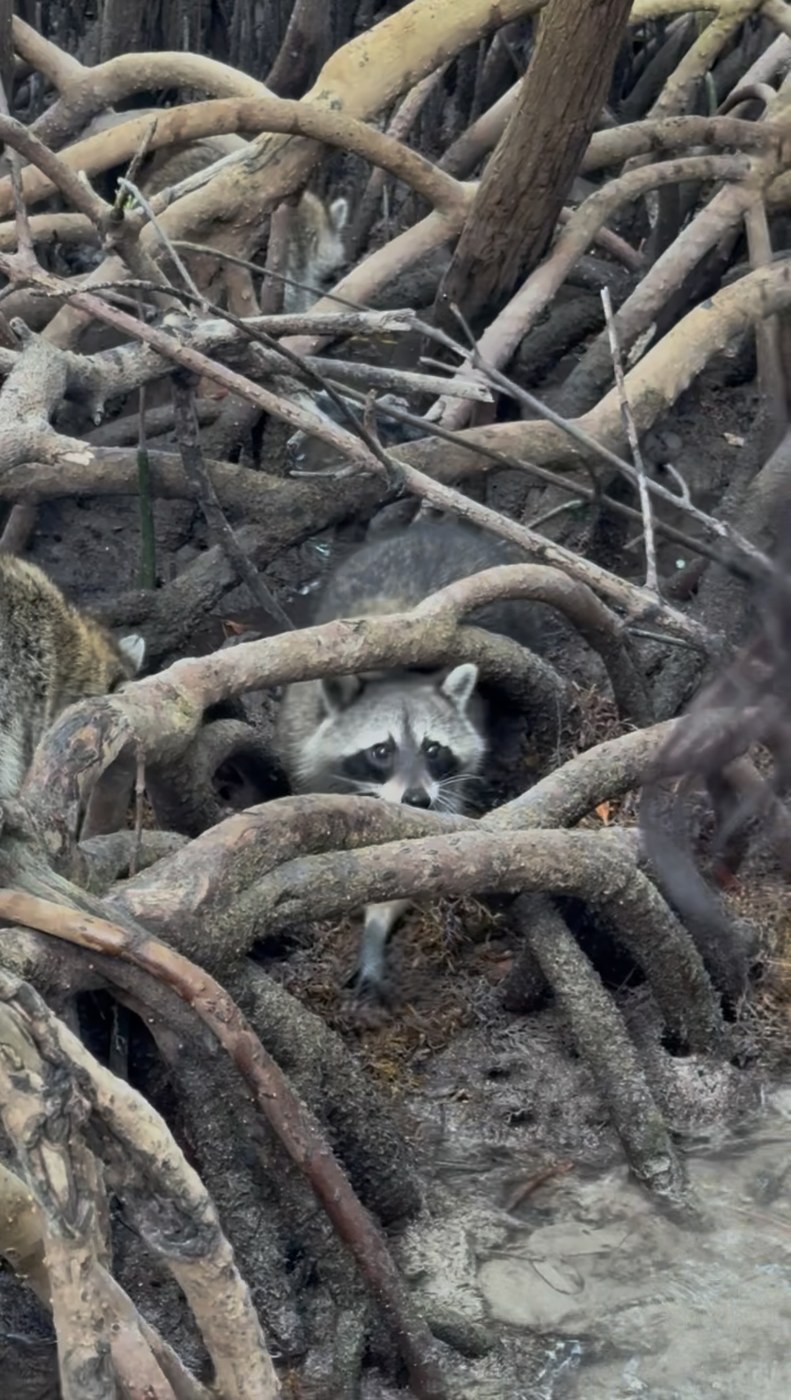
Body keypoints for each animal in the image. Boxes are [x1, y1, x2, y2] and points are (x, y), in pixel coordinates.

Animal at [276, 520, 546, 996]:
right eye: (381, 750)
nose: (418, 800)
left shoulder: (448, 789)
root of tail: (439, 529)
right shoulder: (301, 749)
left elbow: (419, 859)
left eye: (432, 749)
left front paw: (377, 923)